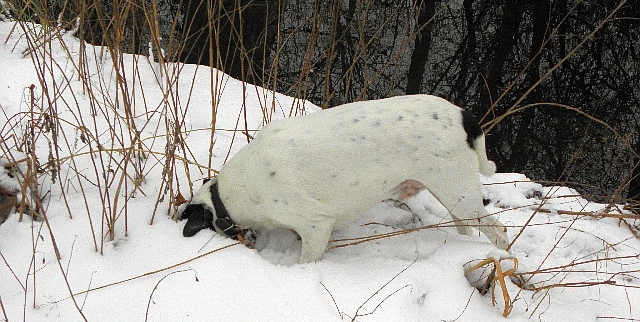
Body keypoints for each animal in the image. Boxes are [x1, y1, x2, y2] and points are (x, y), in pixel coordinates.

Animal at [181, 94, 510, 262]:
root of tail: (465, 117)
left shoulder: (315, 224)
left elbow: (307, 259)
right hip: (455, 197)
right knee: (466, 226)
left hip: (459, 194)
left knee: (498, 229)